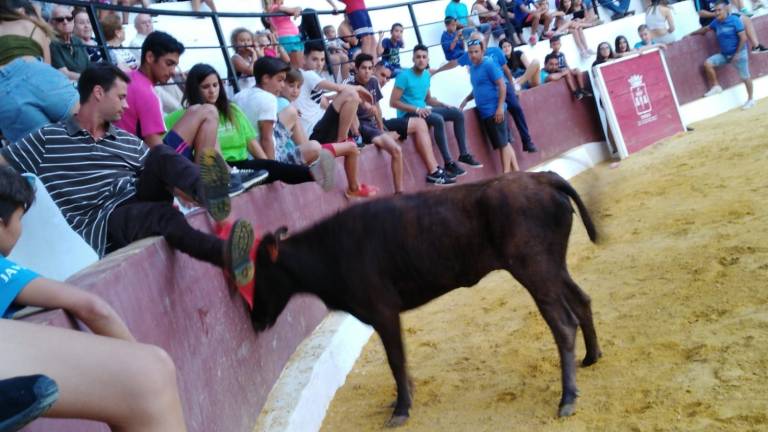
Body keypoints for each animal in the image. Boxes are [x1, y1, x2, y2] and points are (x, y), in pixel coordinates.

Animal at [250, 170, 600, 426]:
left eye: (258, 274)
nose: (255, 320)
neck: (331, 249)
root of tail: (542, 177)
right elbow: (399, 360)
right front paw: (402, 399)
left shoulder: (383, 312)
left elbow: (396, 359)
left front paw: (401, 410)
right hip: (553, 266)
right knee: (582, 300)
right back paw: (591, 357)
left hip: (535, 271)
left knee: (563, 325)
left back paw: (567, 398)